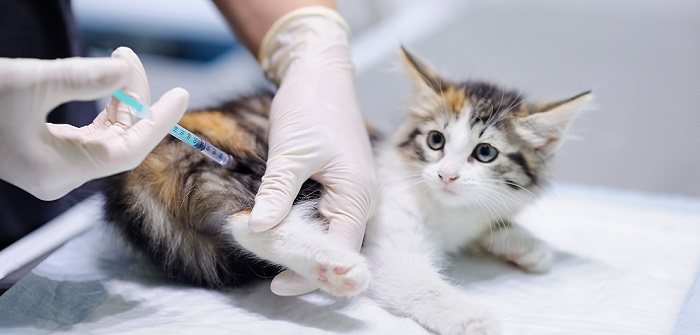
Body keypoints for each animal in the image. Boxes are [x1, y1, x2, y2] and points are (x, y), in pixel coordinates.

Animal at [101, 48, 588, 335]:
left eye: (485, 153)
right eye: (436, 141)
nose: (447, 175)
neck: (444, 208)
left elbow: (490, 221)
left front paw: (526, 245)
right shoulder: (392, 242)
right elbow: (417, 283)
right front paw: (472, 317)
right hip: (257, 167)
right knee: (248, 221)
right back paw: (338, 265)